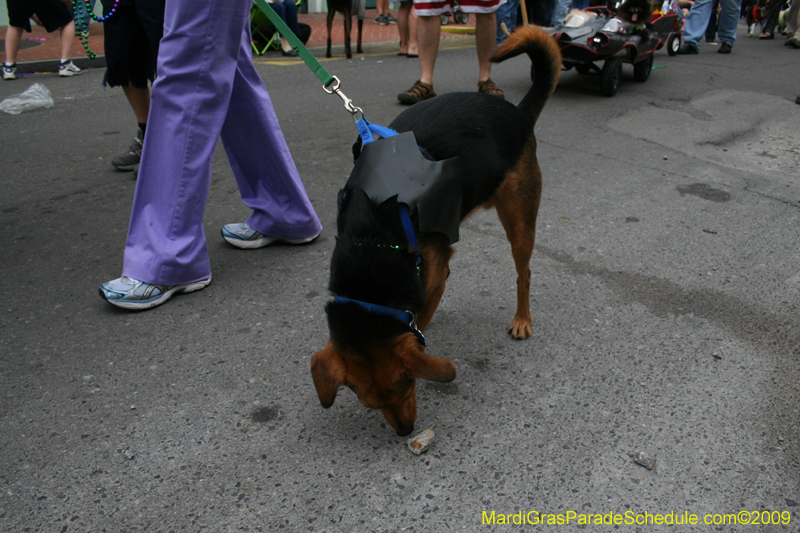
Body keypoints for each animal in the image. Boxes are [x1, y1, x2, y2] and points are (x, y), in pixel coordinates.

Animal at [310, 25, 560, 434]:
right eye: (368, 404)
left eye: (408, 385)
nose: (405, 432)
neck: (372, 243)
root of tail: (516, 112)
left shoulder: (427, 269)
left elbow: (421, 322)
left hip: (521, 221)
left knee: (524, 273)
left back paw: (522, 320)